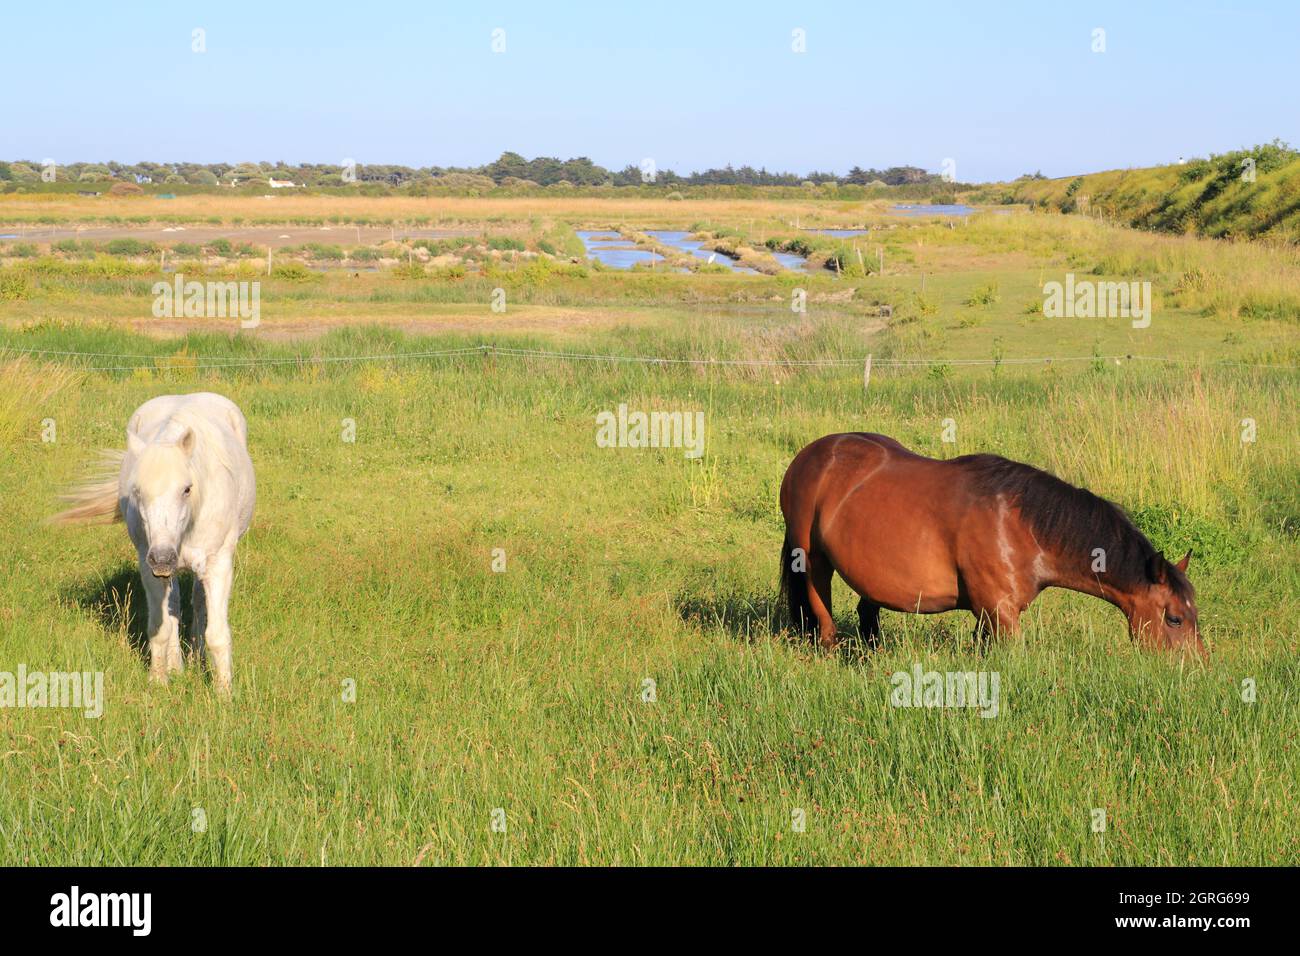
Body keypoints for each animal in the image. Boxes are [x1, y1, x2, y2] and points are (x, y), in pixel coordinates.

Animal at [54, 393, 257, 694]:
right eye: (137, 491)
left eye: (187, 489)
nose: (162, 558)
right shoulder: (148, 567)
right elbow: (160, 628)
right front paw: (159, 681)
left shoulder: (218, 565)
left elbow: (217, 634)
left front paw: (224, 694)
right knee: (173, 605)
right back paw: (178, 666)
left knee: (198, 602)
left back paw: (196, 659)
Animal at [779, 433, 1203, 658]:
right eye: (1174, 619)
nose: (1198, 667)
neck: (1020, 526)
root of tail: (812, 455)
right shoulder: (1001, 615)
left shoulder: (988, 616)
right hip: (812, 560)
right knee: (822, 611)